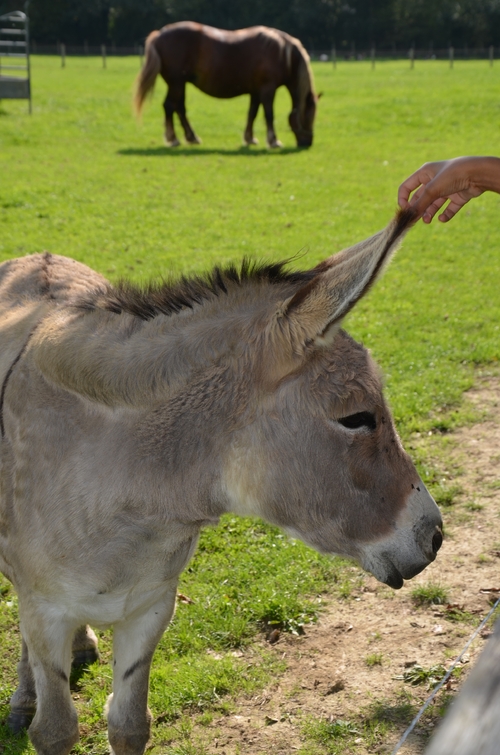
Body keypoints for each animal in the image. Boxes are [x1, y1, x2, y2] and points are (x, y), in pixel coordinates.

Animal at [0, 208, 442, 755]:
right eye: (357, 418)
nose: (435, 536)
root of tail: (41, 256)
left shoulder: (151, 607)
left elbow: (129, 725)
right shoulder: (44, 609)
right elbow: (56, 728)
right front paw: (36, 705)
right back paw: (25, 698)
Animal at [135, 21, 318, 149]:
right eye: (310, 116)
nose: (307, 142)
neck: (282, 54)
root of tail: (159, 34)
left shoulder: (256, 92)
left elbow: (252, 114)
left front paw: (249, 138)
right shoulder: (267, 90)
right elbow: (269, 115)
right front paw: (273, 141)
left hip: (179, 84)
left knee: (178, 108)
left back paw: (191, 137)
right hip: (176, 83)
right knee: (169, 106)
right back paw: (173, 139)